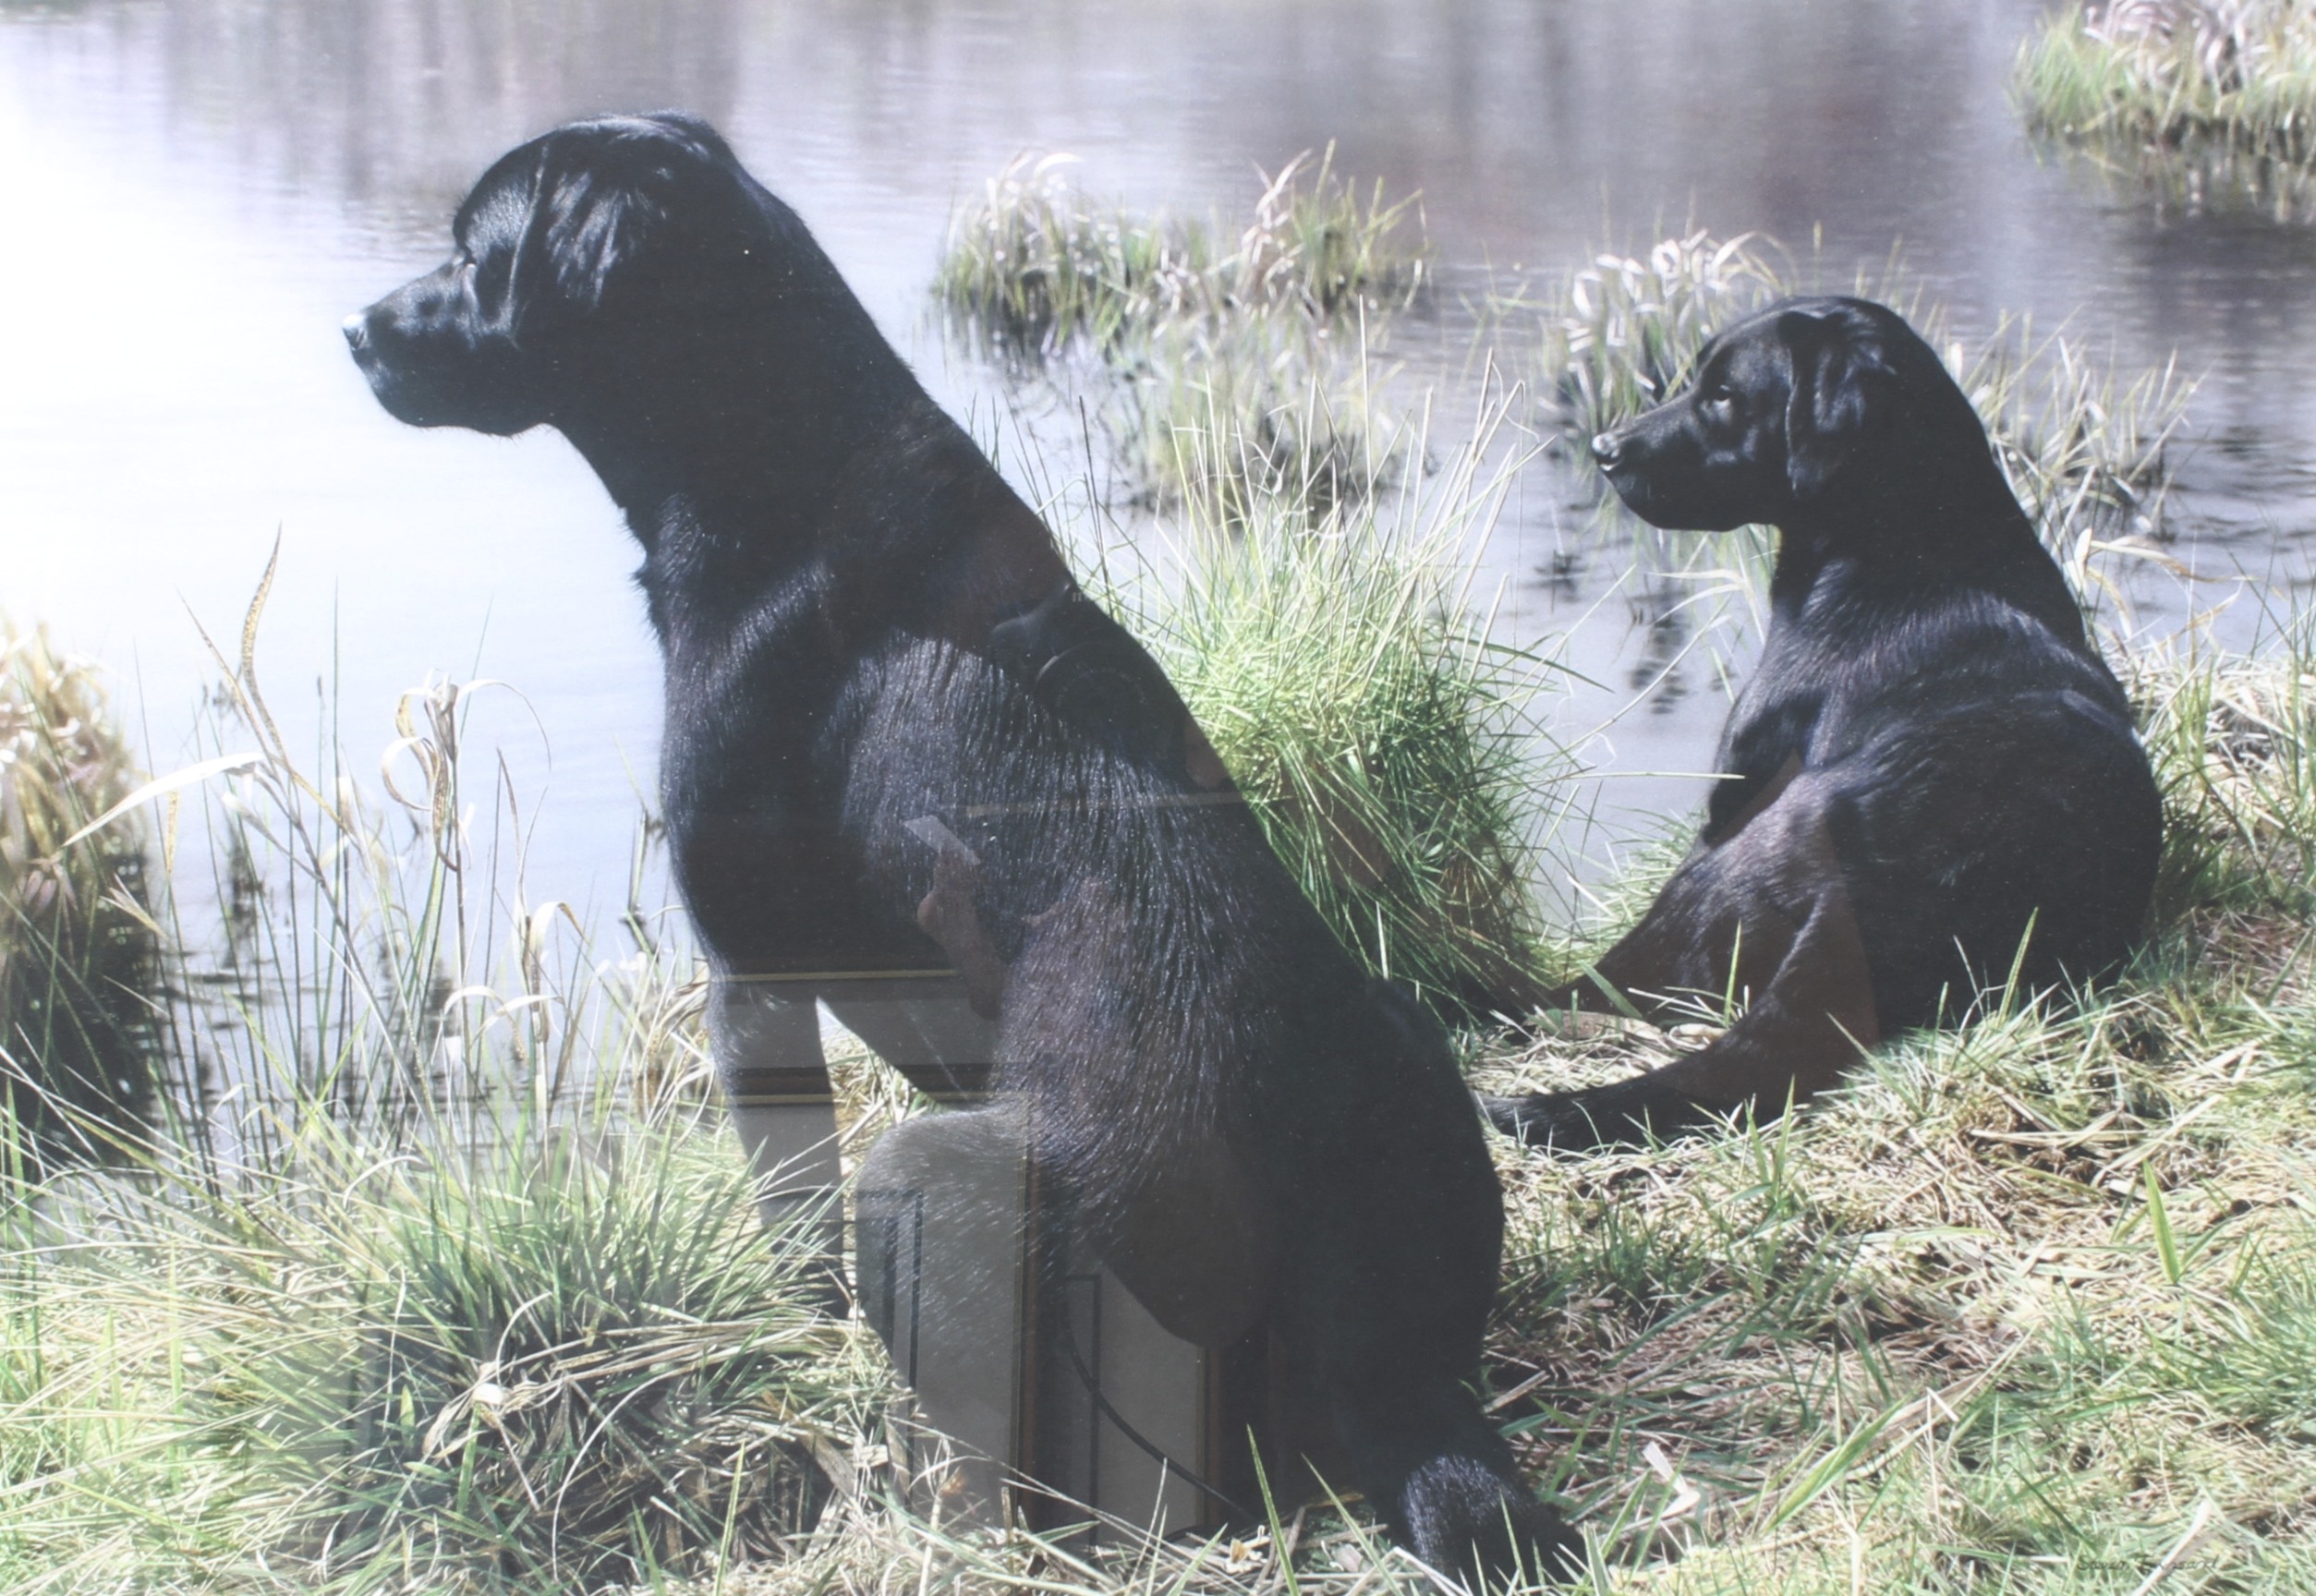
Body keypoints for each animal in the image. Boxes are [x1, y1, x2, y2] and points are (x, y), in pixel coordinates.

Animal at [338, 115, 1574, 1584]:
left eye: (475, 259)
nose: (356, 329)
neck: (783, 466)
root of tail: (1372, 1367)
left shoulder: (746, 978)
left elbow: (791, 1216)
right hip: (1407, 1039)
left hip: (925, 1181)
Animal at [1491, 295, 2158, 1143]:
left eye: (1724, 396)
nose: (1607, 450)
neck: (1912, 535)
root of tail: (1883, 892)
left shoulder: (1728, 799)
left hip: (1712, 874)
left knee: (1592, 989)